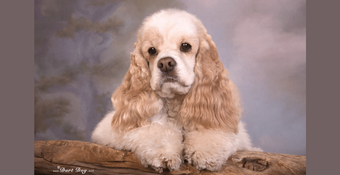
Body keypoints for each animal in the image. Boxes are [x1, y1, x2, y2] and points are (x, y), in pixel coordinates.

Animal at [90, 8, 260, 172]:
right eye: (152, 50)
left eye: (185, 46)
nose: (165, 63)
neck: (175, 104)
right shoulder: (114, 130)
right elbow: (154, 131)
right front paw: (164, 153)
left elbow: (210, 131)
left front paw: (206, 153)